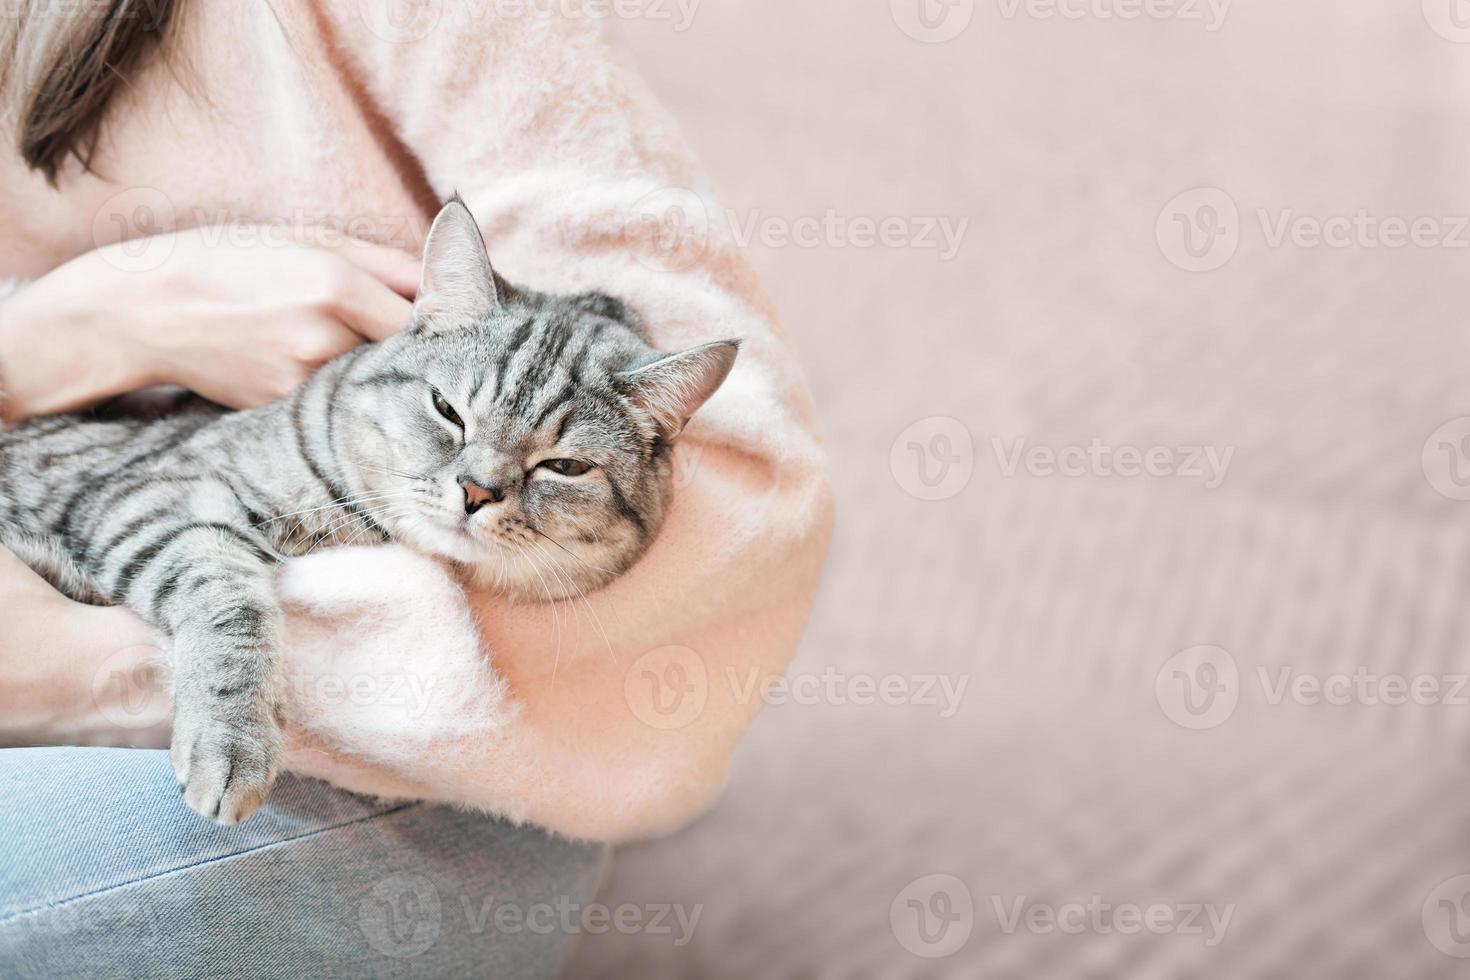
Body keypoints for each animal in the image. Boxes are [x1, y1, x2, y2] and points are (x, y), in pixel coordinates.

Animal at [0, 196, 735, 822]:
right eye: (447, 410)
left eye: (566, 467)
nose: (476, 490)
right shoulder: (152, 494)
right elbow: (231, 603)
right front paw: (232, 740)